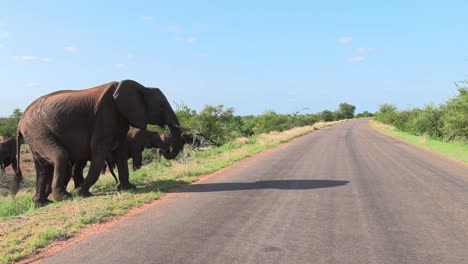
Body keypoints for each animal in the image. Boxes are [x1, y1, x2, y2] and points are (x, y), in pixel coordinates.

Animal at [14, 79, 185, 205]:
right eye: (161, 105)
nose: (166, 150)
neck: (141, 87)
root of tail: (20, 121)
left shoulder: (120, 118)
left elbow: (121, 153)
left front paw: (128, 188)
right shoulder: (105, 114)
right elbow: (99, 151)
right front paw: (80, 193)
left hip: (35, 135)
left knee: (43, 168)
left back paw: (40, 202)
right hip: (38, 131)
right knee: (60, 157)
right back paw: (64, 197)